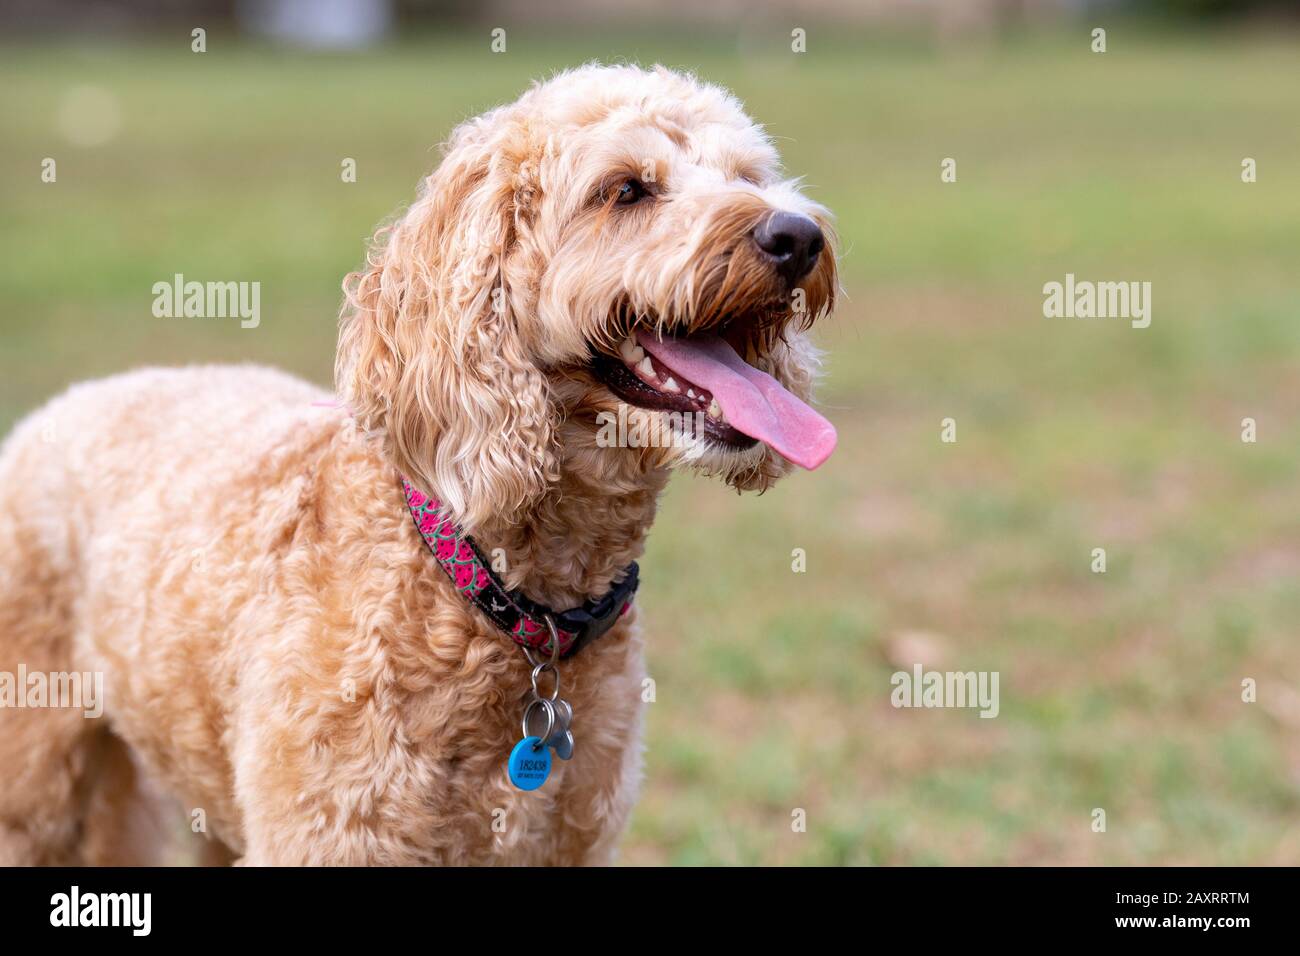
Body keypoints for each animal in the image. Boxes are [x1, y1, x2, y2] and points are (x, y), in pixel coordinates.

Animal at [0, 63, 832, 863]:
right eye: (625, 190)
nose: (798, 237)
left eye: (750, 175)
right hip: (38, 777)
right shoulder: (331, 834)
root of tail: (62, 405)